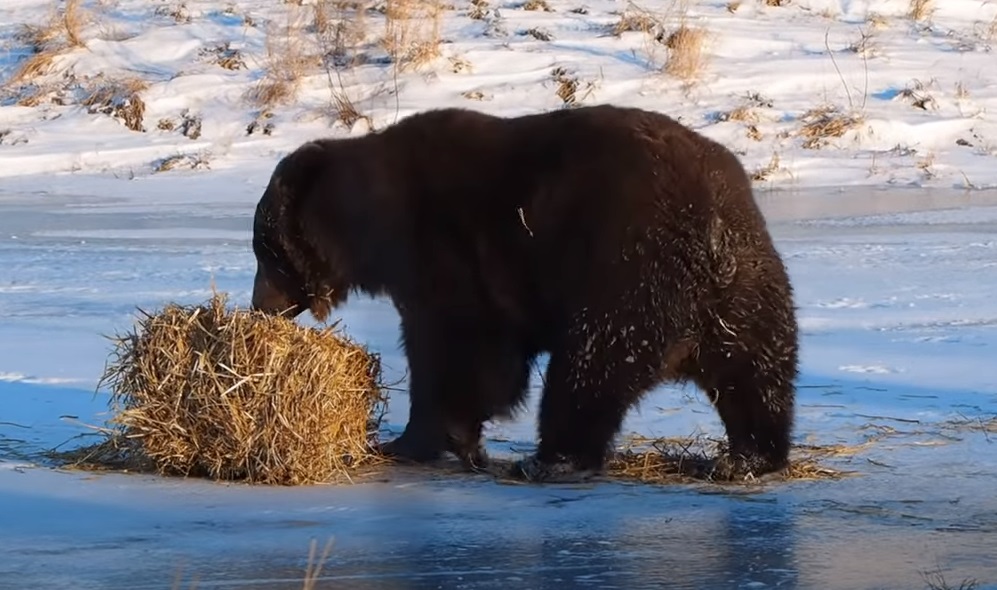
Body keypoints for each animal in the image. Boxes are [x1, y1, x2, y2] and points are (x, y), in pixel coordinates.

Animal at [251, 104, 800, 484]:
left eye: (266, 251)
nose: (260, 305)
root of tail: (712, 233)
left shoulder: (449, 253)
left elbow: (457, 349)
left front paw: (425, 438)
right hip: (749, 285)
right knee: (757, 371)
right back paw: (749, 456)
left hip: (625, 270)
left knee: (588, 370)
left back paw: (551, 460)